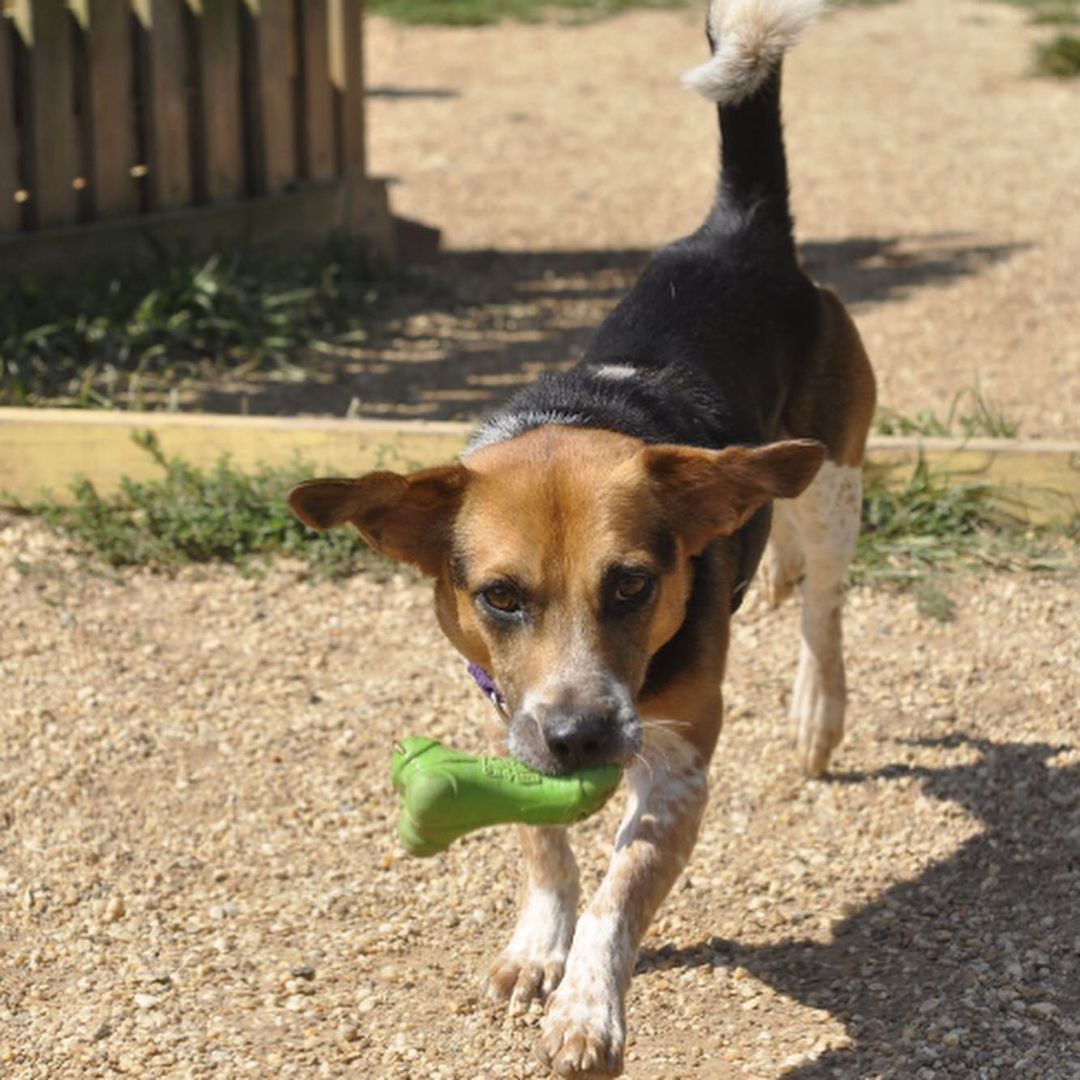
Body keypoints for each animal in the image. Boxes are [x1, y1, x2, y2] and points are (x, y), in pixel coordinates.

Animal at [289, 4, 876, 1075]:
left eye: (634, 585)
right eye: (499, 596)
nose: (582, 739)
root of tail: (739, 234)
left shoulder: (680, 762)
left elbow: (620, 890)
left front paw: (588, 1007)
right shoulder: (505, 707)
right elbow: (543, 844)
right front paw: (537, 947)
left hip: (835, 479)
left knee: (824, 607)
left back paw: (818, 710)